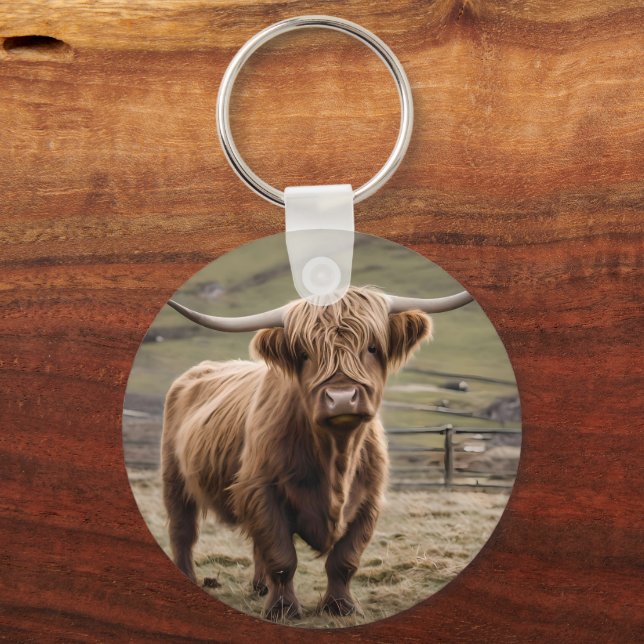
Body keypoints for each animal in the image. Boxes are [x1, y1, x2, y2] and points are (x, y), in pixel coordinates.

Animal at [161, 286, 472, 620]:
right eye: (304, 354)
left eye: (372, 347)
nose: (342, 398)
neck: (337, 457)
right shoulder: (263, 492)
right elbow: (281, 557)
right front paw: (283, 609)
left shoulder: (368, 501)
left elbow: (344, 560)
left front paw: (341, 606)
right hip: (174, 479)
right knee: (183, 531)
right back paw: (190, 577)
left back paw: (260, 587)